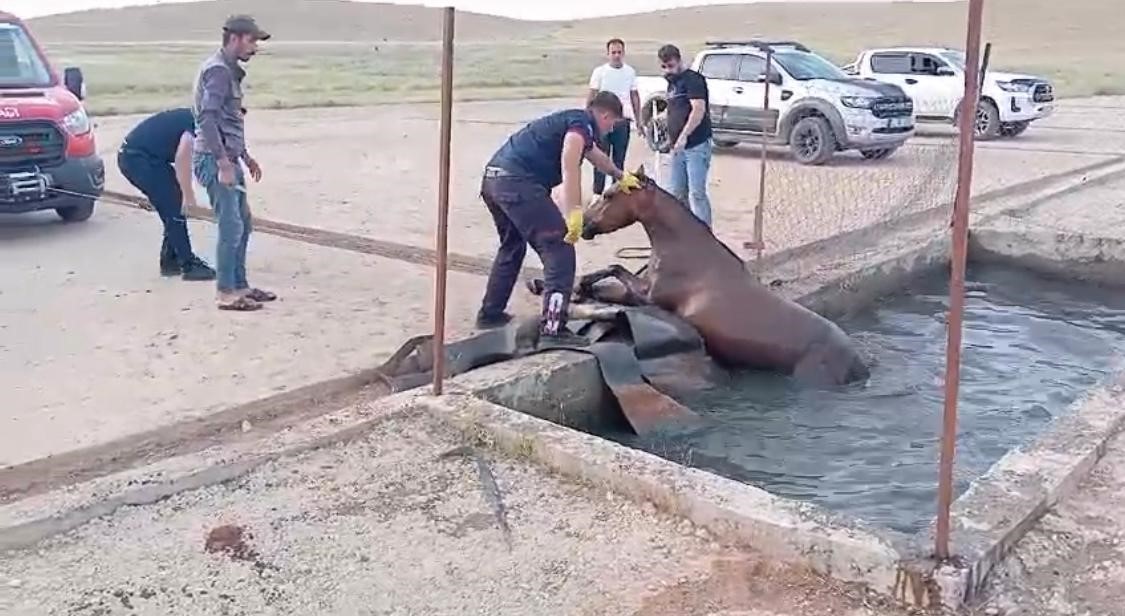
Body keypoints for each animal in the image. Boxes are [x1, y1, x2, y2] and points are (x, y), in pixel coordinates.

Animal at [571, 164, 868, 384]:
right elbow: (607, 280)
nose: (583, 226)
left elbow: (616, 268)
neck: (686, 250)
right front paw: (579, 289)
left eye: (609, 195)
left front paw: (579, 289)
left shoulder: (650, 297)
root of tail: (858, 365)